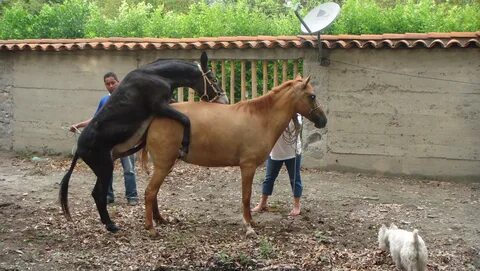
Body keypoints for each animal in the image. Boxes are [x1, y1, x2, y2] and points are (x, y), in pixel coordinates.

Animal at [59, 52, 229, 234]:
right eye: (213, 78)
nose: (225, 100)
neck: (156, 75)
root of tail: (79, 148)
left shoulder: (168, 103)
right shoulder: (160, 106)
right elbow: (185, 119)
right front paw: (184, 145)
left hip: (104, 167)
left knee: (96, 193)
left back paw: (108, 223)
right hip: (105, 167)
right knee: (98, 194)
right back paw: (111, 225)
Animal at [142, 76, 328, 238]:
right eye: (312, 96)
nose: (323, 120)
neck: (261, 118)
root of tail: (155, 117)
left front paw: (252, 222)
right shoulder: (248, 166)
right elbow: (246, 196)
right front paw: (248, 226)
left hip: (165, 165)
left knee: (154, 192)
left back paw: (160, 220)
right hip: (163, 165)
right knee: (150, 192)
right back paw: (151, 228)